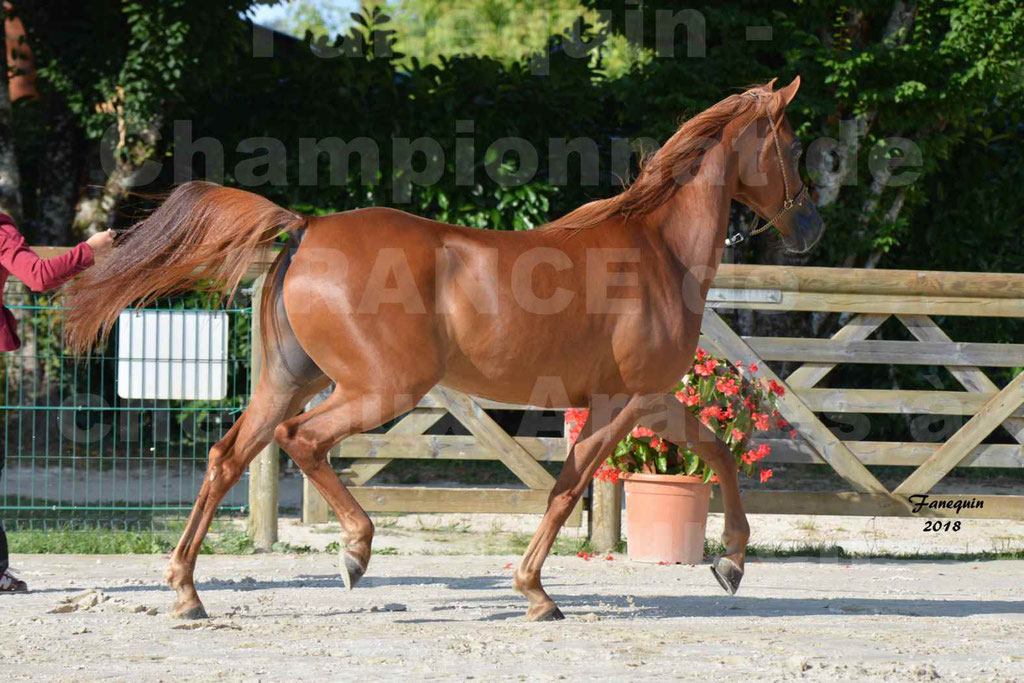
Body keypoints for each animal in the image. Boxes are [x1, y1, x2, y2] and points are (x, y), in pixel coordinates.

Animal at [64, 77, 823, 622]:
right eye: (792, 148)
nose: (812, 228)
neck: (657, 250)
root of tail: (306, 227)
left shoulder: (650, 400)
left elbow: (710, 451)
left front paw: (728, 563)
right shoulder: (624, 400)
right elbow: (573, 486)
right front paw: (539, 592)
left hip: (290, 380)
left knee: (228, 457)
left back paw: (187, 592)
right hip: (379, 389)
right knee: (301, 441)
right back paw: (354, 553)